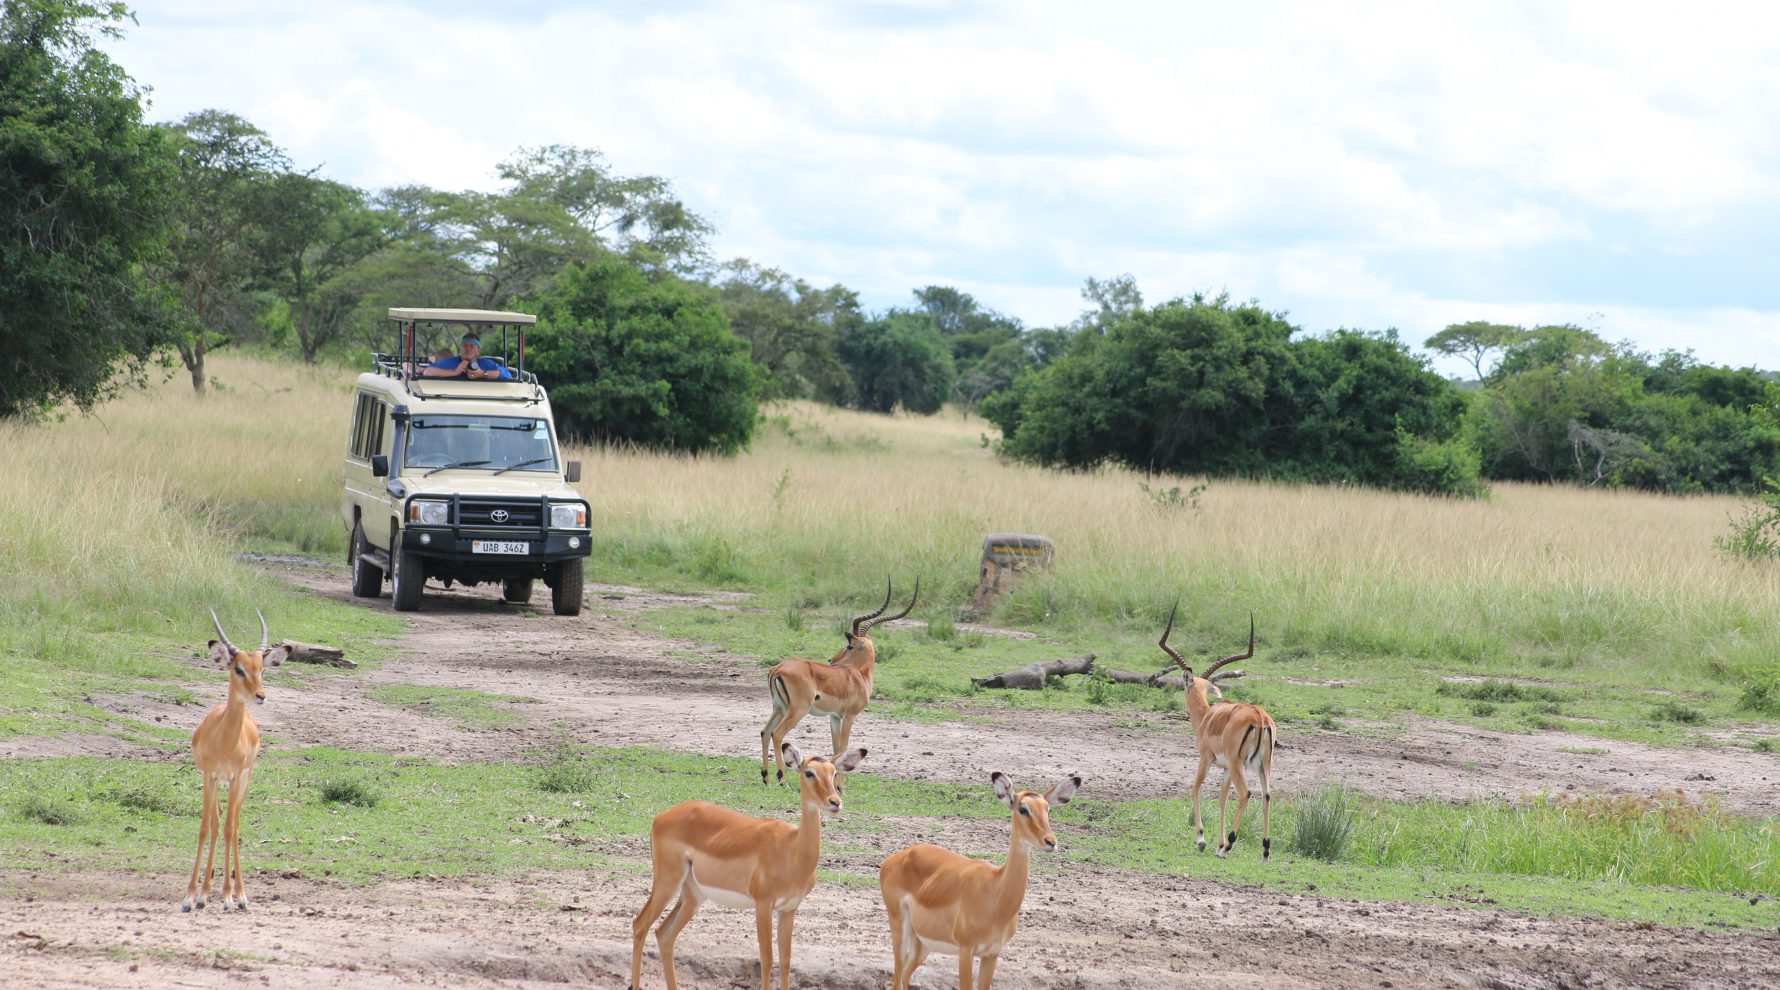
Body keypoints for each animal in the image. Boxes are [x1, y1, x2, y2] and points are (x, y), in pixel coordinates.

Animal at [184, 605, 288, 918]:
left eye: (262, 669)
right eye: (238, 668)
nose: (261, 695)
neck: (225, 742)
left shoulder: (235, 777)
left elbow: (230, 828)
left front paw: (229, 896)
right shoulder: (209, 775)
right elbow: (206, 828)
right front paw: (193, 896)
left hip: (243, 782)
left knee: (235, 824)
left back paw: (238, 894)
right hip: (218, 783)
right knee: (217, 822)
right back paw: (207, 890)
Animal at [633, 740, 868, 990]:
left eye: (833, 773)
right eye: (809, 772)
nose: (835, 802)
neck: (792, 850)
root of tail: (660, 817)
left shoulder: (789, 909)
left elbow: (786, 960)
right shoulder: (763, 905)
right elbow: (767, 959)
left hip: (693, 894)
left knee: (664, 935)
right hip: (667, 883)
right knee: (640, 925)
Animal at [758, 580, 918, 790]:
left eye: (849, 646)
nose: (831, 660)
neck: (860, 676)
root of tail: (778, 668)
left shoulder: (834, 717)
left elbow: (835, 748)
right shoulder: (849, 716)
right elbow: (843, 747)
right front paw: (841, 786)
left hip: (779, 708)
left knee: (765, 732)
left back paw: (766, 778)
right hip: (797, 710)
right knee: (777, 734)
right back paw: (782, 779)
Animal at [879, 772, 1075, 990]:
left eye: (1048, 809)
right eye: (1023, 809)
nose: (1050, 842)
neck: (995, 895)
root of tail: (896, 857)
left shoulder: (992, 954)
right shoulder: (966, 950)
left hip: (922, 944)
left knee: (904, 977)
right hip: (899, 925)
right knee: (897, 977)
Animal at [1160, 601, 1274, 858]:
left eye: (1184, 685)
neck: (1207, 718)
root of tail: (1259, 716)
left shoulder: (1206, 759)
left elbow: (1195, 788)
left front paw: (1203, 840)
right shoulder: (1224, 769)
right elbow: (1221, 799)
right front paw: (1218, 843)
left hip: (1238, 763)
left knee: (1246, 793)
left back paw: (1229, 846)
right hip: (1263, 764)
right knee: (1266, 795)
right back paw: (1264, 851)